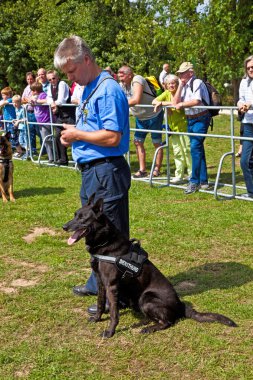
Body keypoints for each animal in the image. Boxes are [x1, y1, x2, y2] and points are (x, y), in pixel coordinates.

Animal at [63, 194, 237, 336]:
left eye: (82, 219)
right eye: (75, 215)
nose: (64, 227)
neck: (105, 242)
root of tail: (181, 306)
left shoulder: (111, 286)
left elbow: (113, 313)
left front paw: (110, 332)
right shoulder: (101, 283)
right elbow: (100, 304)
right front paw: (97, 319)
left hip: (146, 298)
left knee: (168, 322)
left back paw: (149, 328)